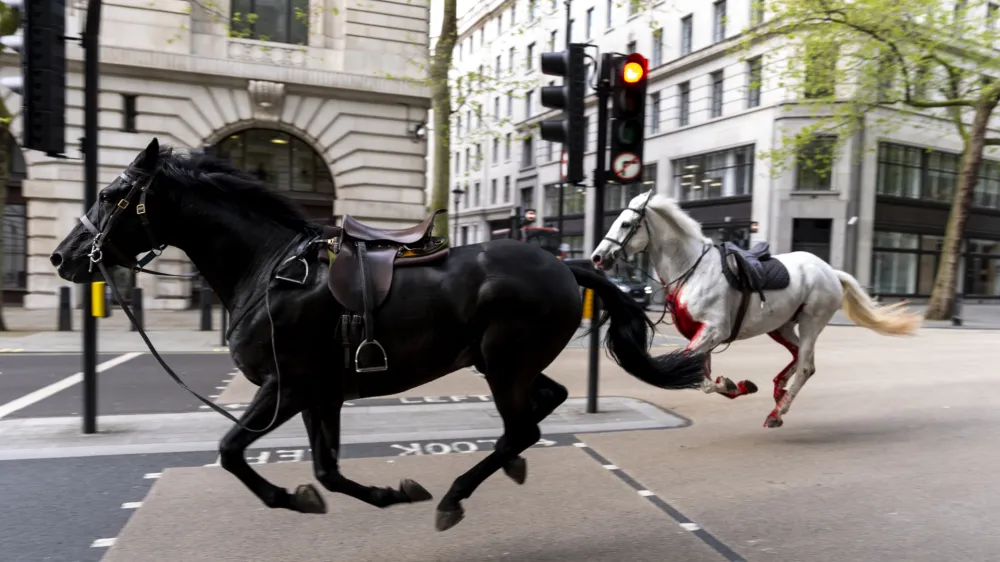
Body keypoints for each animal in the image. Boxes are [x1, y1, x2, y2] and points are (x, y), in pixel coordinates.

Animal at [49, 139, 708, 531]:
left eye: (110, 194)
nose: (63, 256)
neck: (268, 270)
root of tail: (565, 266)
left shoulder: (287, 386)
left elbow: (233, 450)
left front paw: (290, 497)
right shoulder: (320, 393)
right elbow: (326, 471)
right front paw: (380, 493)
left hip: (502, 362)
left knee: (523, 425)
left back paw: (456, 494)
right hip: (502, 362)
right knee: (544, 406)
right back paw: (506, 466)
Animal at [591, 191, 922, 428]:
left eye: (625, 223)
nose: (597, 257)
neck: (692, 270)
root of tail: (830, 270)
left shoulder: (713, 330)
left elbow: (696, 375)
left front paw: (730, 384)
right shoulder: (702, 334)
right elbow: (702, 376)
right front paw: (734, 385)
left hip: (812, 322)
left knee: (806, 366)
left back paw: (777, 411)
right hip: (782, 325)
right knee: (797, 357)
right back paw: (779, 391)